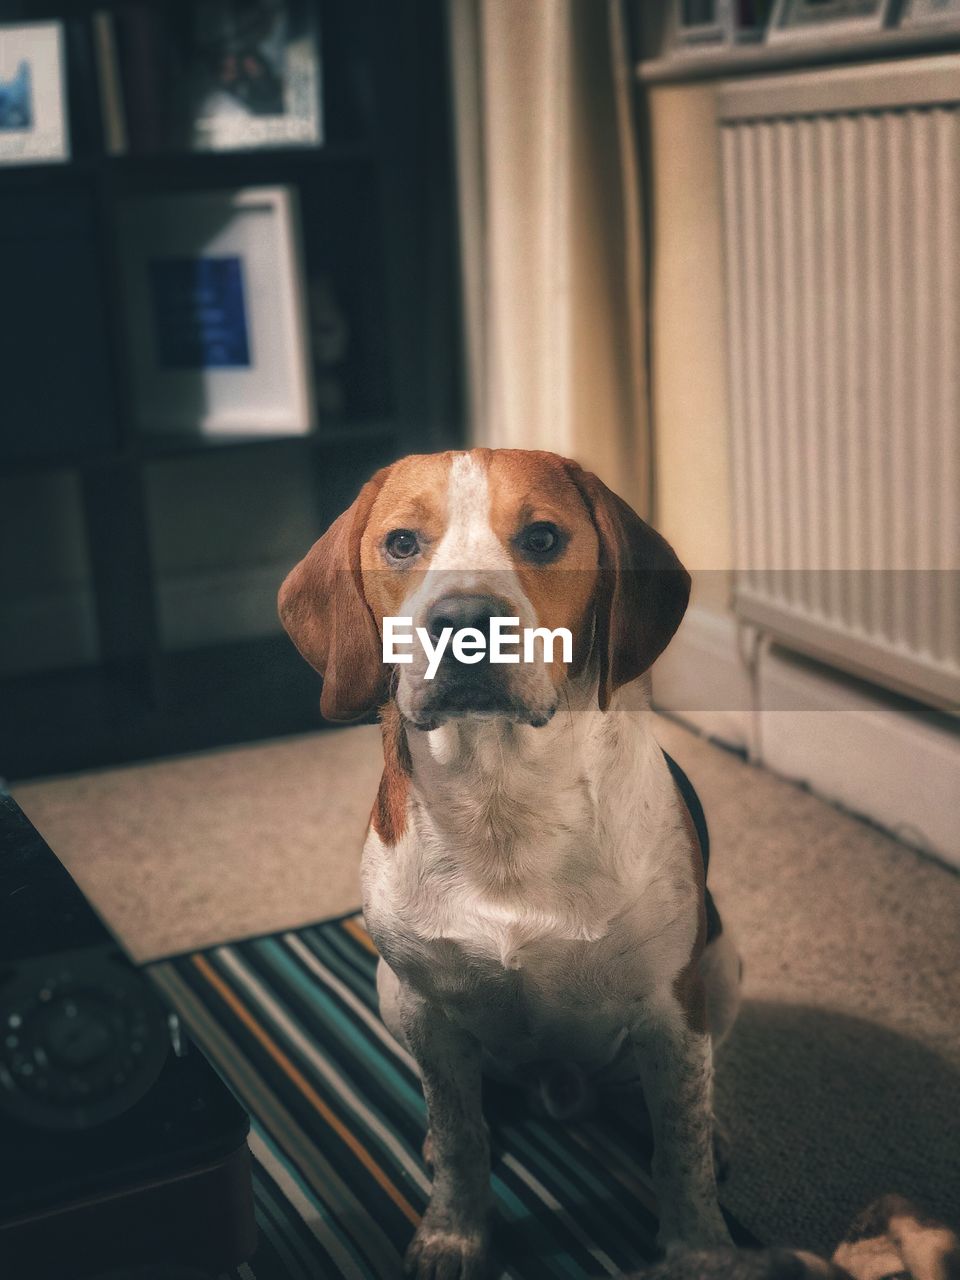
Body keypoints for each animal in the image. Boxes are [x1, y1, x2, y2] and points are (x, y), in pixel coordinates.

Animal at [277, 450, 742, 1280]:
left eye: (544, 537)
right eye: (401, 543)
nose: (464, 621)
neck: (501, 799)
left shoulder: (671, 1010)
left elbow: (680, 1148)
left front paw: (700, 1250)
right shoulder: (427, 1014)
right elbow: (464, 1138)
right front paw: (454, 1233)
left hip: (723, 967)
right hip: (388, 991)